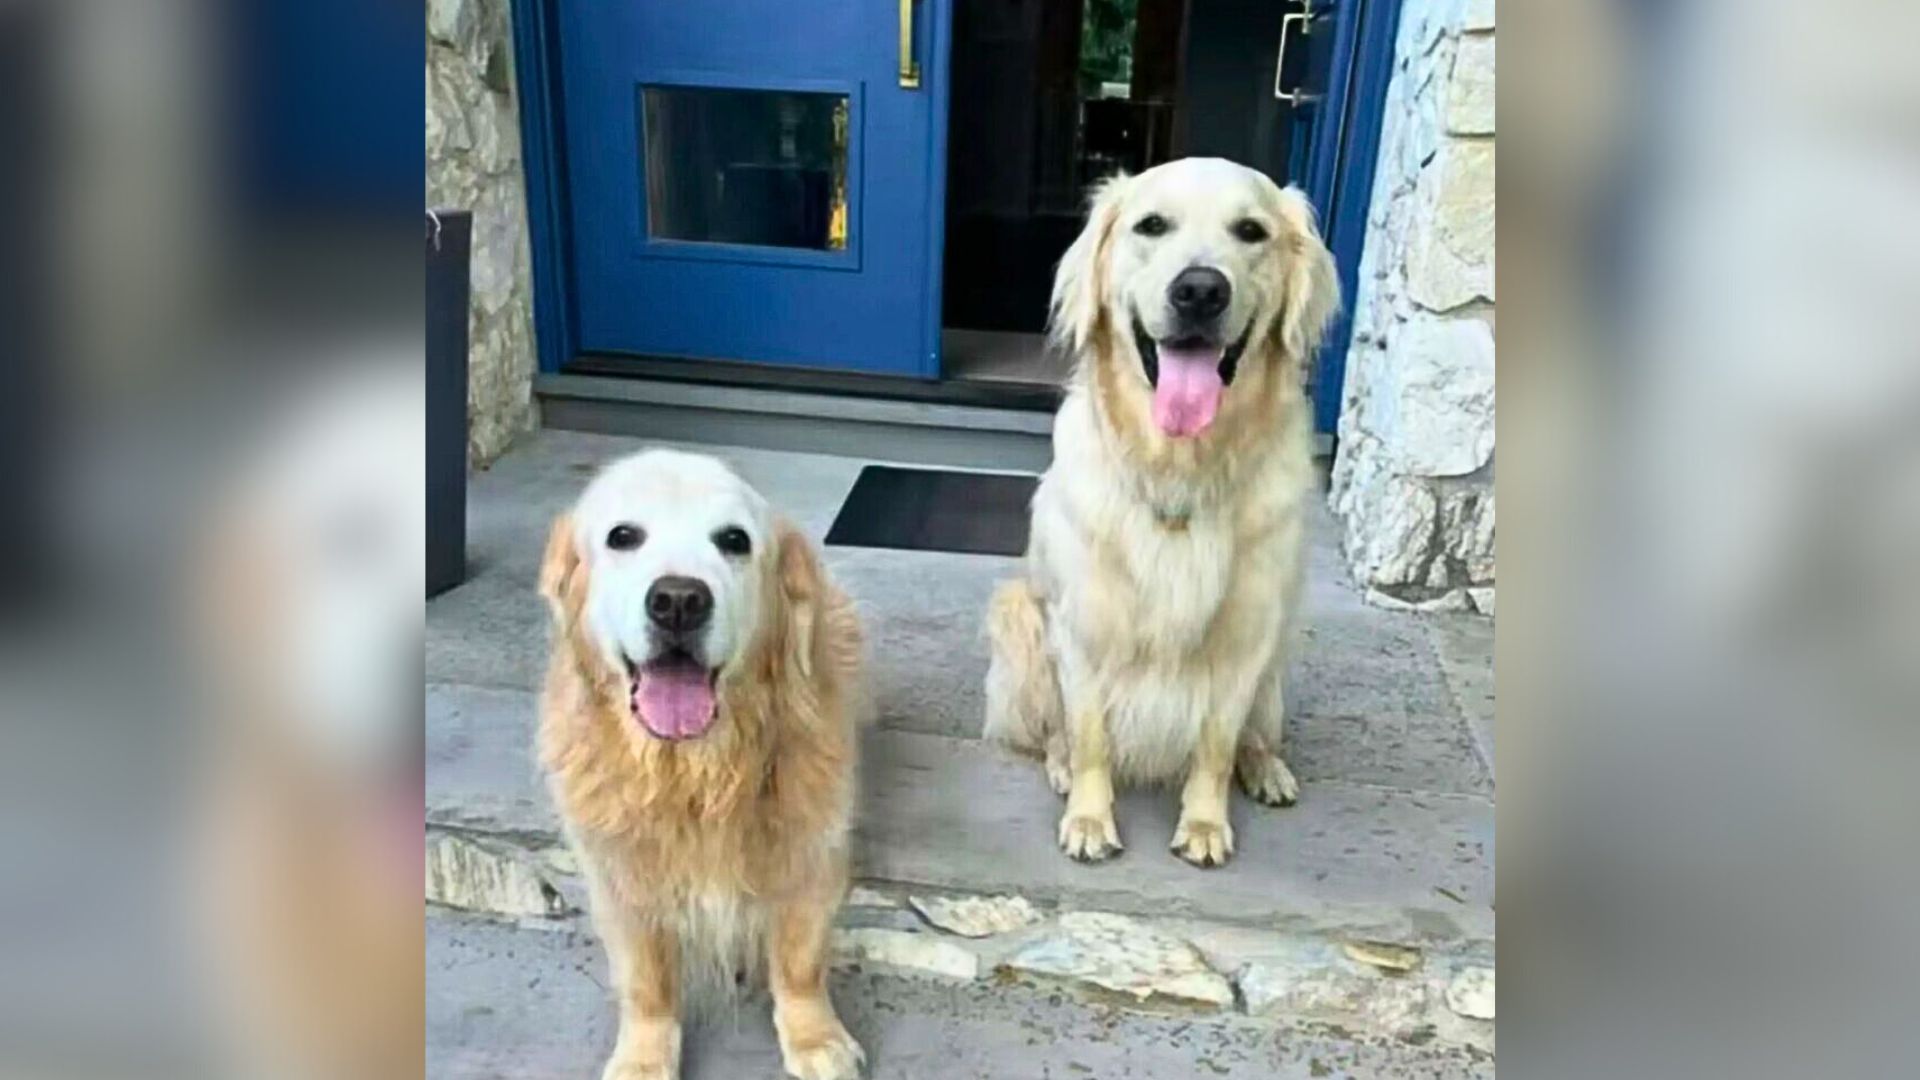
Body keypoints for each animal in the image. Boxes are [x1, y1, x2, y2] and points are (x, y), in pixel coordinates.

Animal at [545, 449, 867, 1076]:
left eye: (734, 540)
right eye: (623, 536)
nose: (678, 600)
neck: (696, 771)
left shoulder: (813, 853)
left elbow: (800, 961)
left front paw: (814, 1037)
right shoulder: (619, 876)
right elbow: (646, 982)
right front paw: (645, 1057)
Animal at [983, 157, 1344, 864]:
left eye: (1251, 231)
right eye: (1152, 225)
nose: (1200, 290)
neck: (1181, 468)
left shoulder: (1246, 636)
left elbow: (1217, 744)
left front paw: (1204, 824)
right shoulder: (1083, 625)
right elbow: (1090, 733)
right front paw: (1089, 819)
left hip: (1277, 661)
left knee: (1255, 734)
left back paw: (1267, 769)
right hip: (1019, 618)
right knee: (1054, 730)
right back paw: (1060, 764)